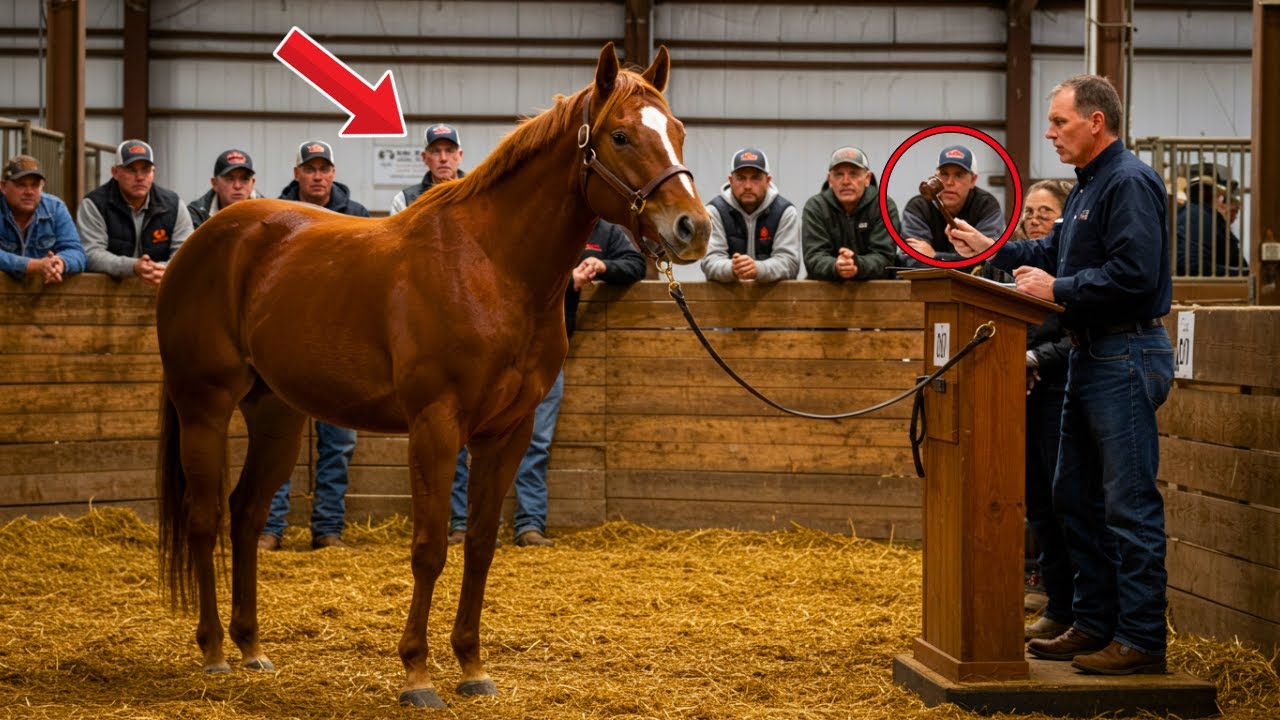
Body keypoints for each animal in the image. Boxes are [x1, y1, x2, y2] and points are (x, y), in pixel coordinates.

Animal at [155, 43, 709, 708]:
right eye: (621, 135)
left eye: (677, 131)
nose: (693, 228)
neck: (490, 267)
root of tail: (203, 241)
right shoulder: (435, 426)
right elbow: (429, 547)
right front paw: (417, 674)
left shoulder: (508, 432)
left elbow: (480, 545)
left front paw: (471, 665)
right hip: (204, 406)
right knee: (205, 517)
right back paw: (213, 651)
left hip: (277, 415)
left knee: (244, 514)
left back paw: (250, 647)